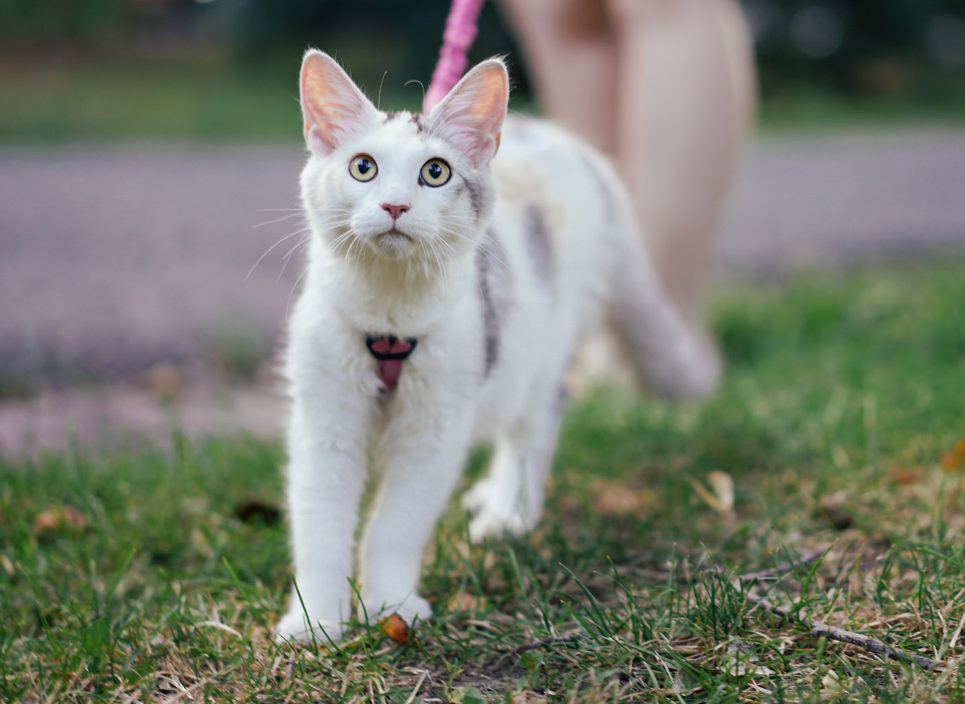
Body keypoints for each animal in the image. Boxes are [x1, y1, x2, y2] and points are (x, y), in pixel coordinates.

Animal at [274, 49, 720, 644]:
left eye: (434, 172)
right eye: (362, 167)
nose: (394, 205)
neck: (388, 316)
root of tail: (574, 147)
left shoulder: (435, 431)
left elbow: (394, 527)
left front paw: (391, 607)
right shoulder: (324, 423)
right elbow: (320, 529)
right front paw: (317, 622)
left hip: (541, 351)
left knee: (534, 429)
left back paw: (509, 515)